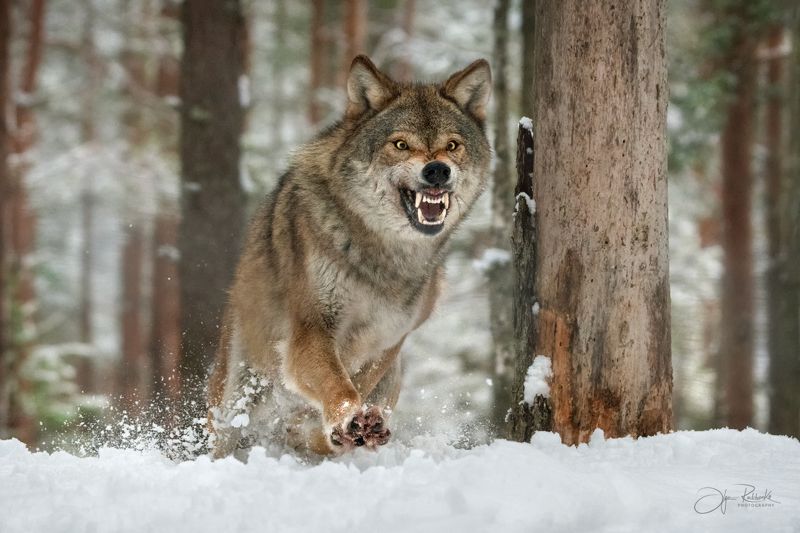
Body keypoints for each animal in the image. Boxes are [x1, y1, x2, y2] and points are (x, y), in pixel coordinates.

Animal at [207, 55, 492, 457]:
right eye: (400, 144)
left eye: (452, 145)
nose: (437, 170)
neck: (383, 256)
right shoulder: (310, 331)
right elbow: (338, 385)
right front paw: (347, 418)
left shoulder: (389, 340)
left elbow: (358, 382)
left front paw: (346, 425)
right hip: (235, 398)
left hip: (392, 378)